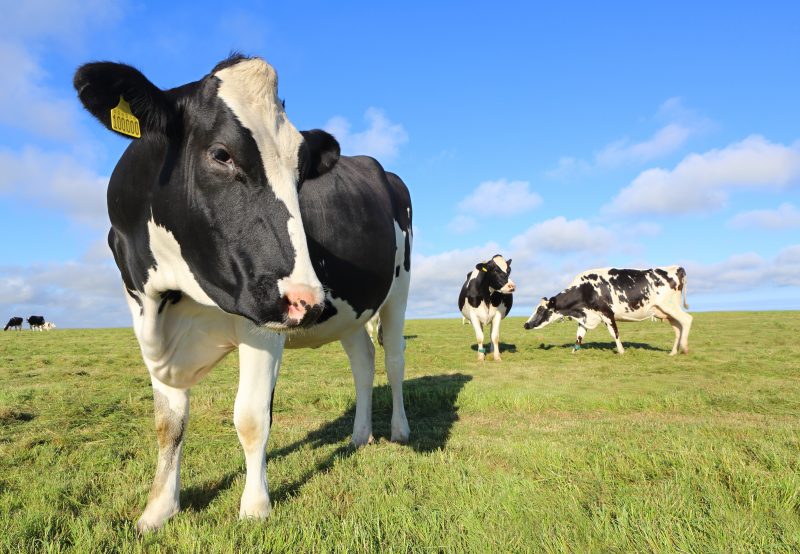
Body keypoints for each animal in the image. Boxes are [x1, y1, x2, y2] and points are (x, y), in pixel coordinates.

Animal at [73, 55, 412, 533]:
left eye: (300, 172)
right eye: (222, 154)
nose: (308, 301)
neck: (174, 294)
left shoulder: (263, 317)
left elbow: (251, 418)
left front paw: (255, 508)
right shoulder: (142, 310)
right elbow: (168, 422)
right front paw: (159, 509)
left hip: (398, 287)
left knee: (395, 358)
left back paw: (399, 431)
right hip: (350, 310)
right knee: (363, 362)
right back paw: (359, 436)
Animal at [523, 266, 691, 355]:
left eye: (540, 310)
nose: (526, 324)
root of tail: (676, 268)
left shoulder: (607, 313)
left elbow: (614, 333)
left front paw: (621, 351)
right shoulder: (587, 316)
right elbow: (579, 335)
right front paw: (574, 351)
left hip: (670, 306)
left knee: (687, 320)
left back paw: (684, 348)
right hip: (666, 312)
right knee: (678, 328)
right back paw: (672, 352)